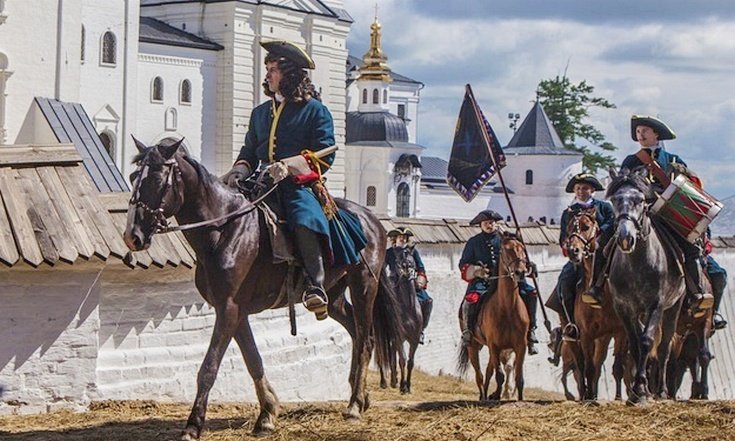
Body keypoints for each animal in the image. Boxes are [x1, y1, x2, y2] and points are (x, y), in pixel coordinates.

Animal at [123, 139, 394, 438]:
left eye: (157, 180)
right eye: (134, 177)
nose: (132, 236)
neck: (224, 229)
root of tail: (372, 219)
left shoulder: (228, 309)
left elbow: (209, 368)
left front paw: (193, 425)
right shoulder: (235, 311)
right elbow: (253, 359)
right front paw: (267, 414)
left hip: (364, 285)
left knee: (366, 340)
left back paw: (355, 405)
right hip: (334, 296)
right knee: (356, 333)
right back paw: (361, 396)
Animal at [460, 232, 528, 400]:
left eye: (522, 248)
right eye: (506, 250)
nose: (520, 272)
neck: (508, 308)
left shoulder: (520, 346)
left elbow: (518, 378)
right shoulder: (494, 345)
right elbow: (499, 376)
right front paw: (495, 395)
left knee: (489, 371)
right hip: (473, 346)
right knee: (480, 375)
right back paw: (483, 395)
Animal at [568, 206, 628, 398]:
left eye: (586, 226)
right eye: (569, 226)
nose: (573, 251)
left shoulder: (619, 331)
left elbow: (618, 367)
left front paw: (617, 398)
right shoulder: (586, 334)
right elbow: (588, 368)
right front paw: (589, 397)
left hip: (604, 337)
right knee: (581, 366)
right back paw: (584, 393)